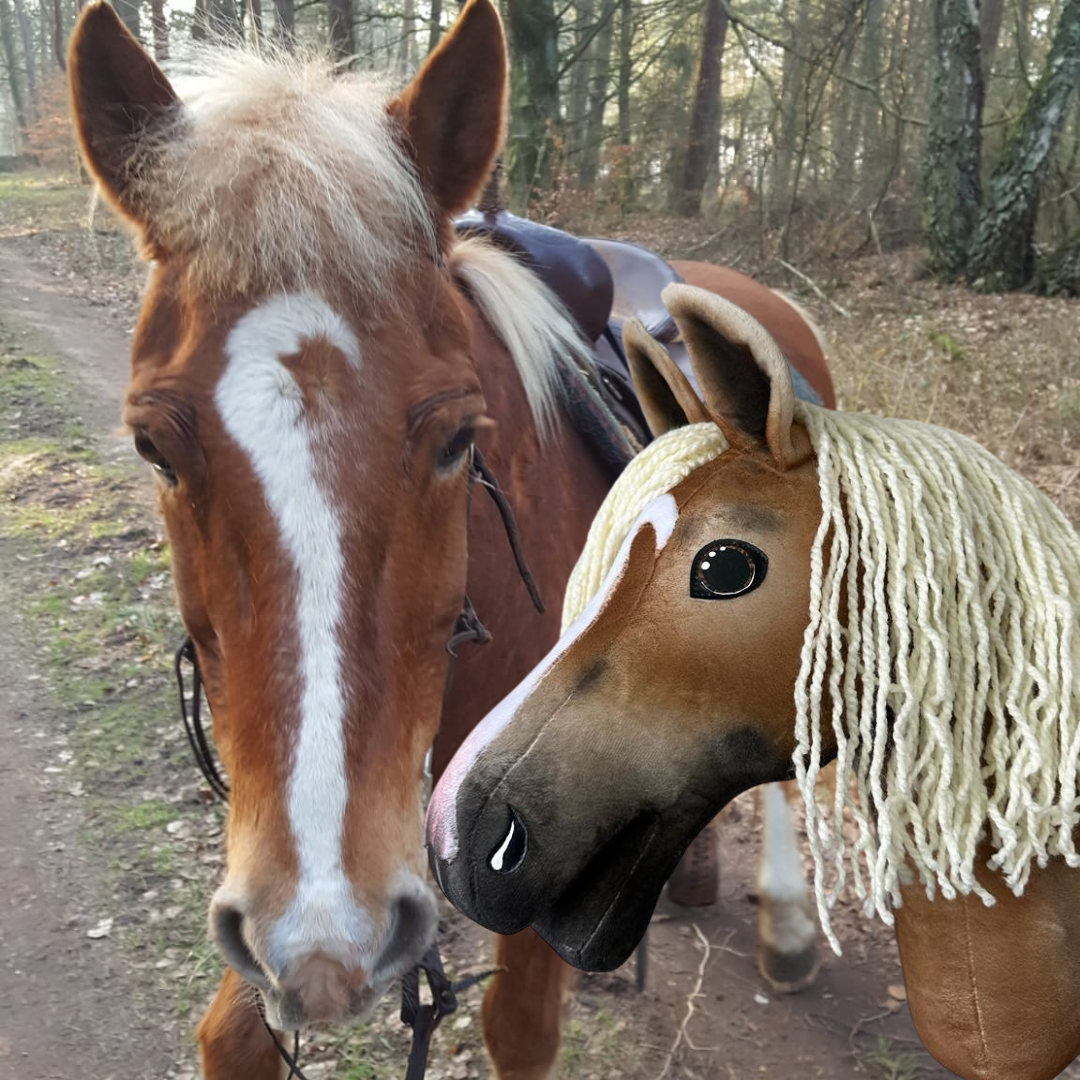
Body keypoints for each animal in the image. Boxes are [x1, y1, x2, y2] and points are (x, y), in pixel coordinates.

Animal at [67, 2, 836, 1075]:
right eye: (153, 446)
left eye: (459, 438)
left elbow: (519, 1025)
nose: (327, 936)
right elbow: (234, 1032)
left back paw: (788, 926)